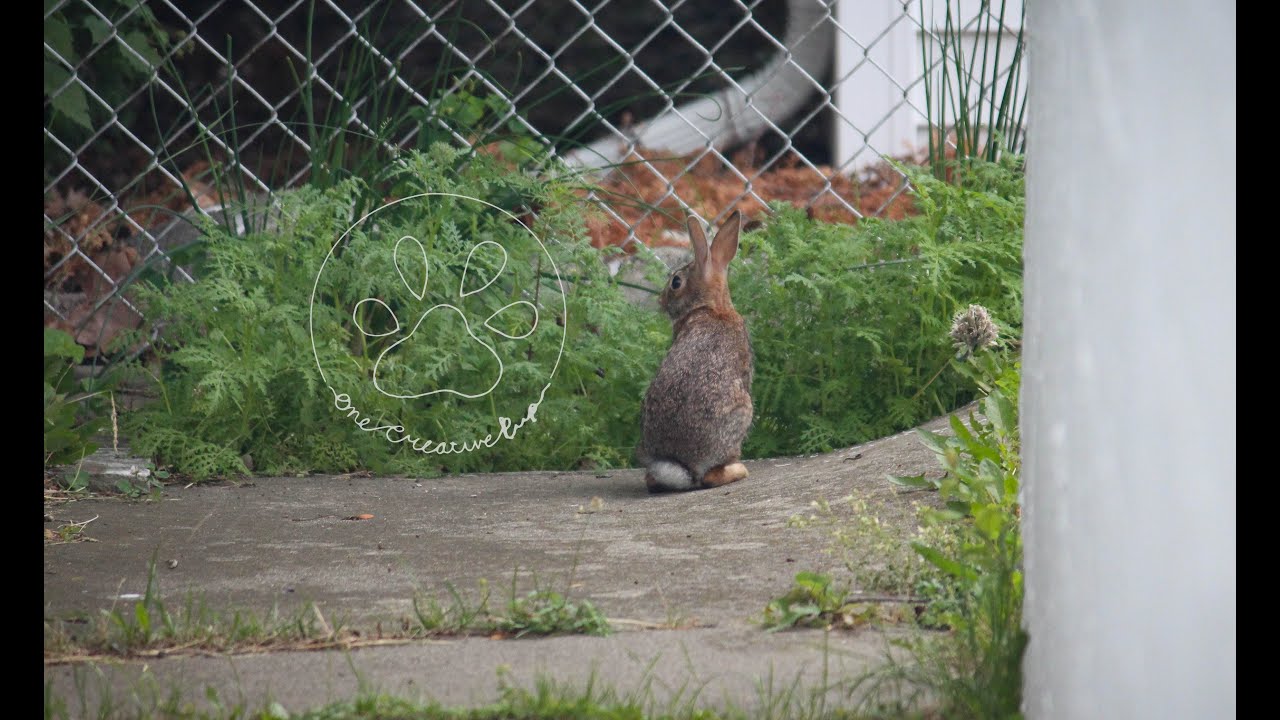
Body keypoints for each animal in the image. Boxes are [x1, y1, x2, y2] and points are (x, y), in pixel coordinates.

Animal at [637, 210, 754, 493]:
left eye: (676, 282)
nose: (661, 301)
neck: (711, 307)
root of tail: (682, 466)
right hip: (743, 412)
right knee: (710, 478)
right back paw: (739, 470)